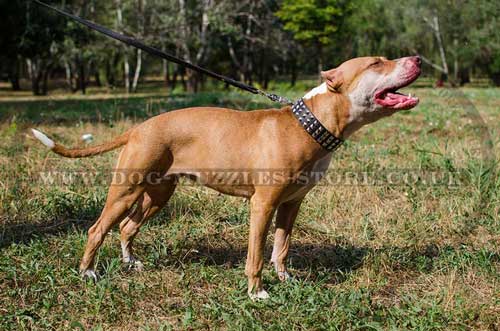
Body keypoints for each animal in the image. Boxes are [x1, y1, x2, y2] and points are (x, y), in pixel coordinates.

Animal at [31, 55, 422, 300]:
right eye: (376, 63)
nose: (418, 58)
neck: (310, 124)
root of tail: (139, 128)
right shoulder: (262, 205)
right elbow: (257, 255)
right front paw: (258, 292)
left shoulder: (291, 205)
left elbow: (281, 248)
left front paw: (286, 279)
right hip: (126, 190)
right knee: (97, 228)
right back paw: (88, 273)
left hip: (158, 194)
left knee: (128, 227)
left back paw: (130, 263)